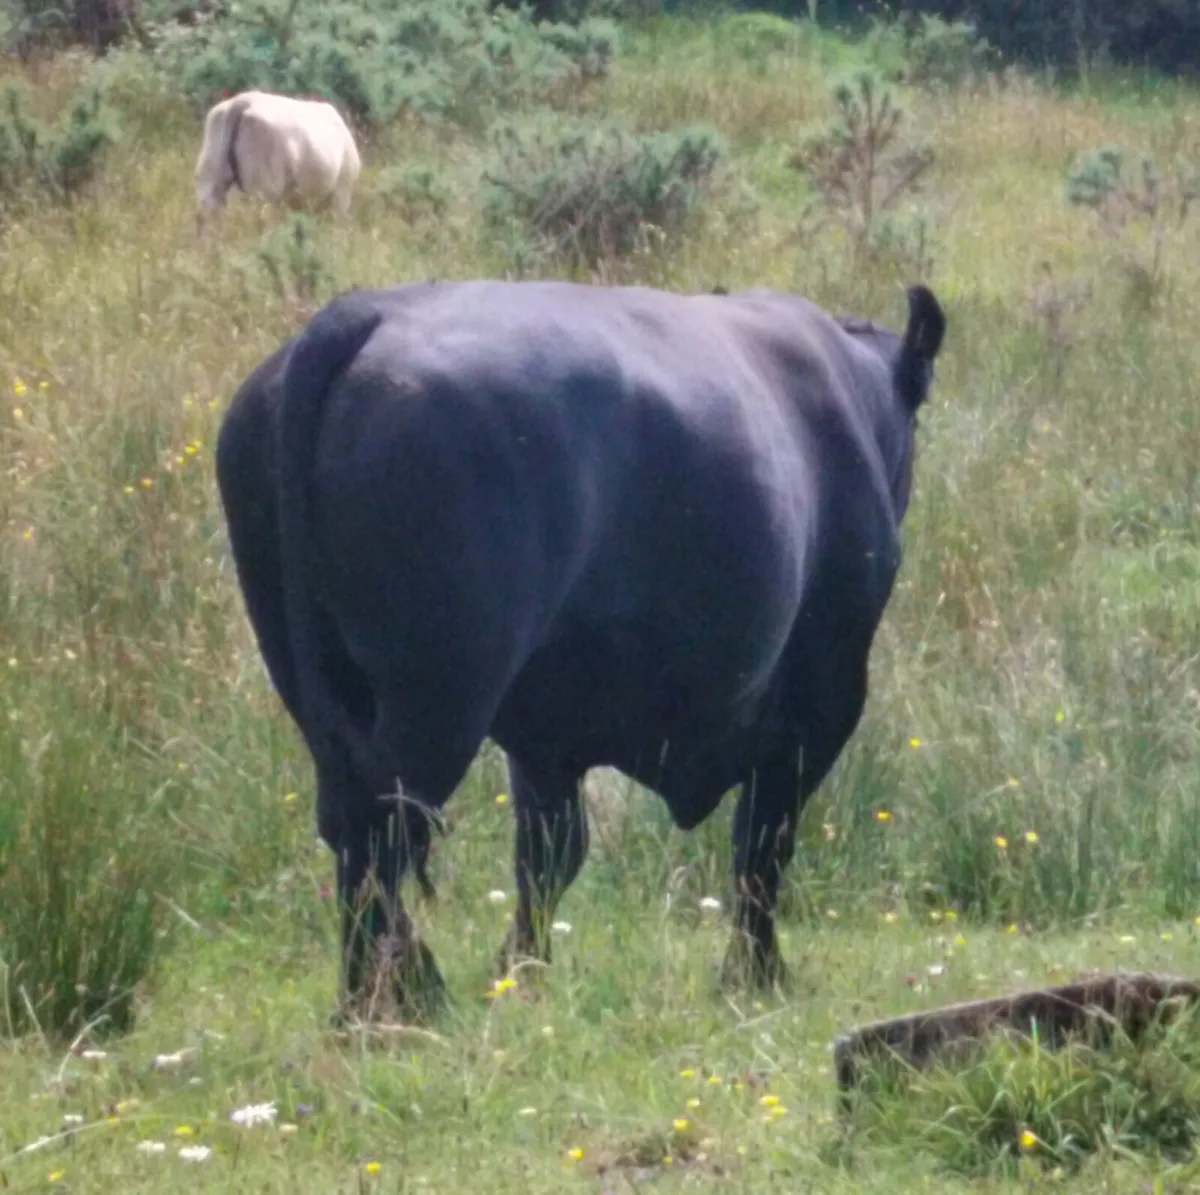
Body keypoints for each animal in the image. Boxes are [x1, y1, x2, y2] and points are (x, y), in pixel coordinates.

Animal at [215, 278, 946, 1017]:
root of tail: (364, 313)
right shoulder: (818, 702)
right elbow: (762, 846)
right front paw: (756, 974)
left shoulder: (545, 736)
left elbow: (549, 854)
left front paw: (523, 973)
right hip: (439, 700)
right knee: (383, 829)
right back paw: (389, 1002)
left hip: (320, 685)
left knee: (353, 828)